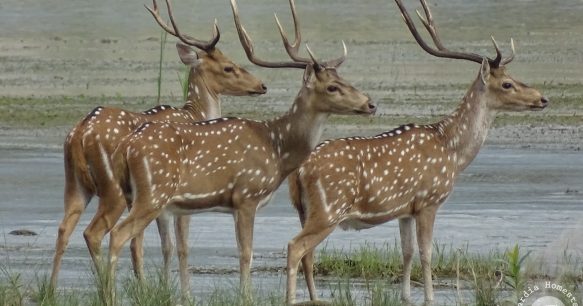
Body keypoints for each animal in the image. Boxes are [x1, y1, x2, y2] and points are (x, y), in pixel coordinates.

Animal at [50, 0, 266, 290]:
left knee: (64, 228)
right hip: (113, 189)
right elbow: (176, 245)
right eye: (228, 66)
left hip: (74, 183)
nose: (262, 85)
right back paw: (106, 286)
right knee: (94, 232)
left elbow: (146, 244)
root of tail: (80, 133)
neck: (194, 114)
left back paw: (51, 290)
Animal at [102, 0, 376, 296]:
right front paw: (247, 296)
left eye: (345, 79)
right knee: (116, 234)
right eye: (332, 87)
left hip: (133, 194)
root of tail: (125, 147)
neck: (276, 148)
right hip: (153, 192)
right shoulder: (247, 194)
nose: (370, 103)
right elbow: (246, 253)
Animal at [286, 0, 548, 304]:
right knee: (295, 247)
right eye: (507, 84)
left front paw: (405, 295)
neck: (452, 151)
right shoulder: (428, 200)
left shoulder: (405, 210)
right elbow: (426, 252)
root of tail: (300, 169)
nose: (542, 98)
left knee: (308, 254)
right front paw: (430, 297)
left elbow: (407, 251)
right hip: (329, 208)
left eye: (513, 76)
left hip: (304, 209)